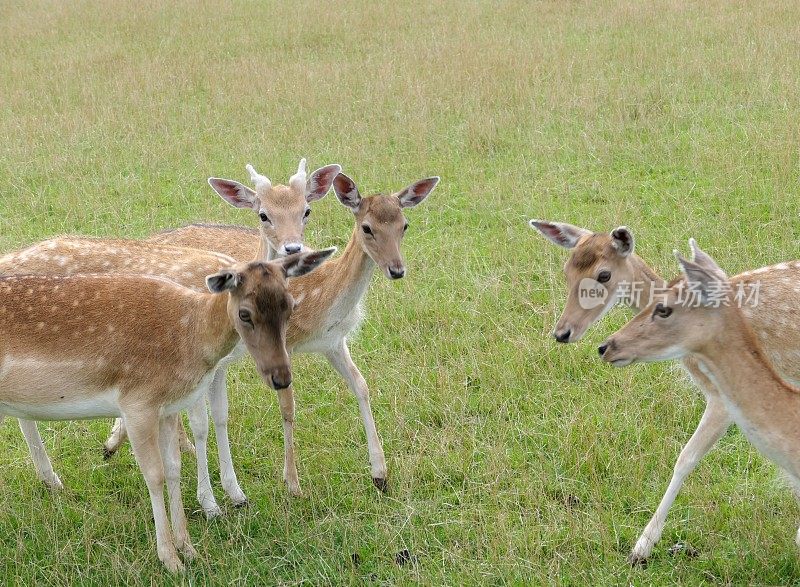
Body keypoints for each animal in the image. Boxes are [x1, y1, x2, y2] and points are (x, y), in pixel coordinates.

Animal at [0, 250, 334, 572]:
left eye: (290, 306)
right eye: (245, 313)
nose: (282, 377)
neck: (191, 336)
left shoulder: (169, 409)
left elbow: (174, 470)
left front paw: (189, 549)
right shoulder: (137, 402)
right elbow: (154, 475)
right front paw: (170, 559)